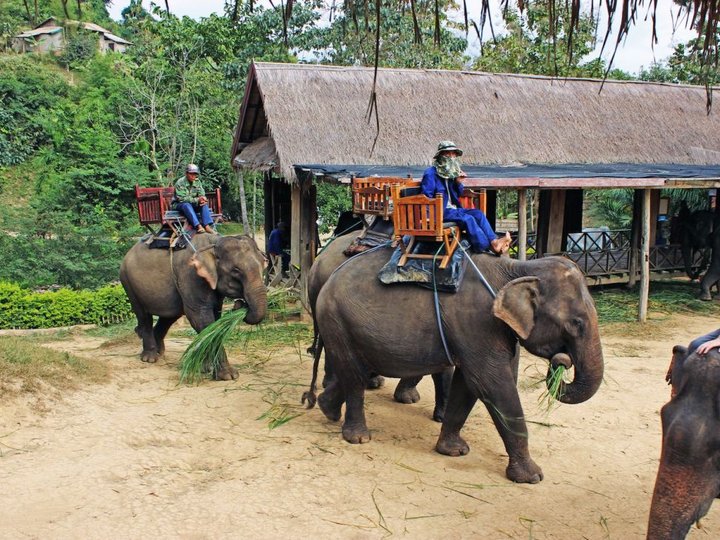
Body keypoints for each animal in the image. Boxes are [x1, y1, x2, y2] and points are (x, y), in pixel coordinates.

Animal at [121, 235, 268, 380]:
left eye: (263, 264)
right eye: (236, 270)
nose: (240, 304)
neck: (213, 243)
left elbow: (215, 319)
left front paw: (205, 368)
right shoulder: (191, 276)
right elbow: (200, 319)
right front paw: (229, 375)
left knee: (169, 316)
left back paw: (159, 352)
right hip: (129, 283)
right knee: (144, 316)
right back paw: (150, 357)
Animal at [310, 247, 600, 484]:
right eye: (576, 323)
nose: (561, 361)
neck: (519, 269)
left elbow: (468, 386)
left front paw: (453, 451)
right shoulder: (479, 323)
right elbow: (492, 385)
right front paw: (532, 477)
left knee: (356, 371)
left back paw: (327, 409)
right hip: (336, 320)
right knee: (354, 375)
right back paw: (358, 437)